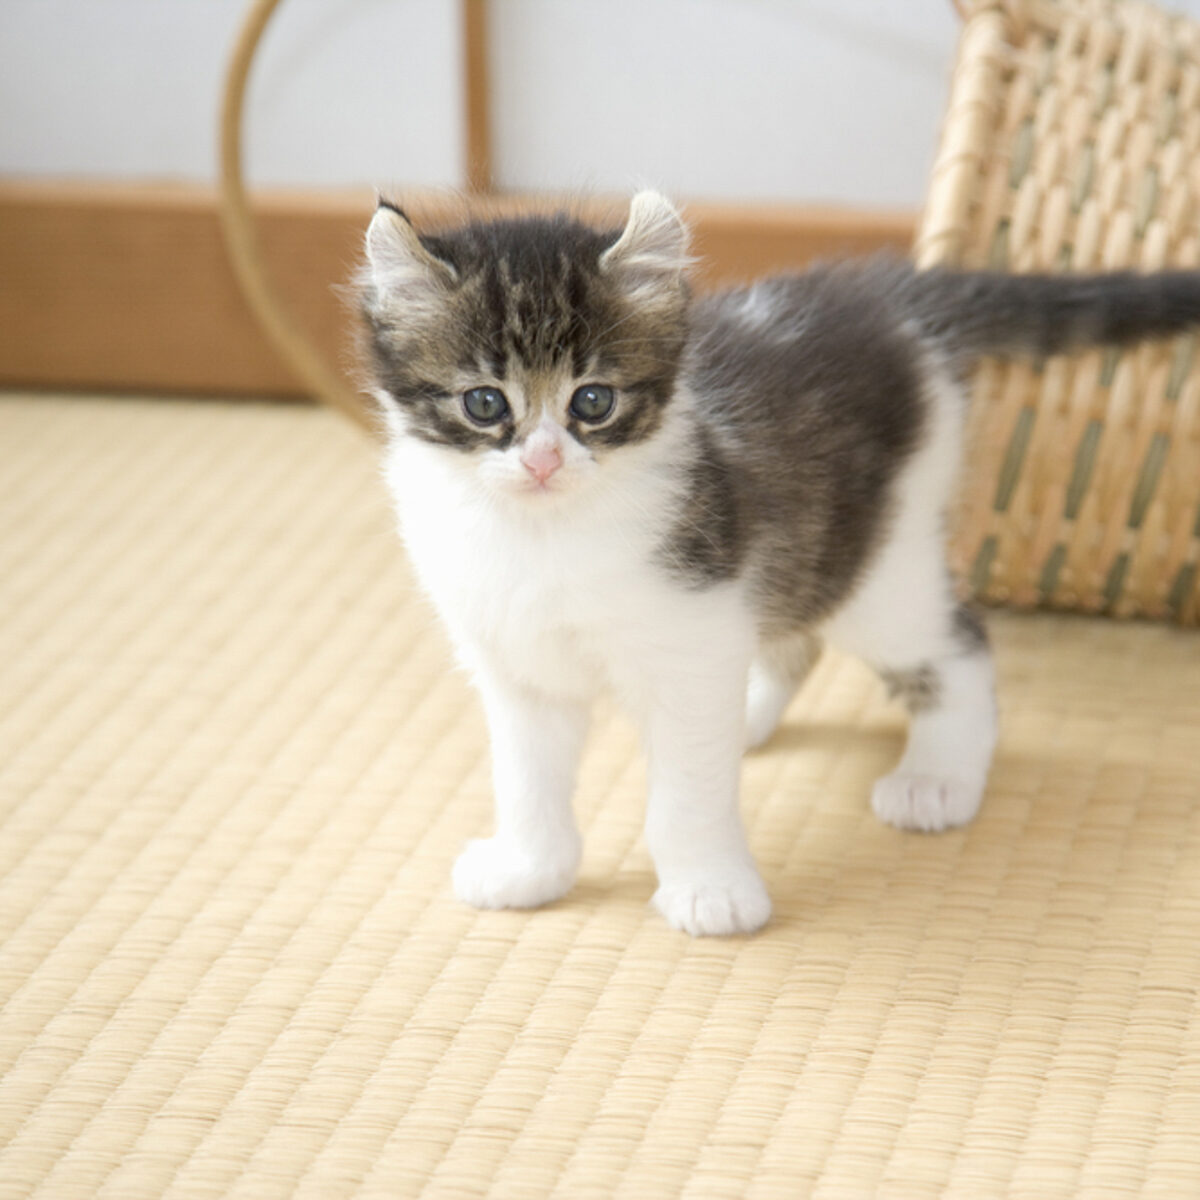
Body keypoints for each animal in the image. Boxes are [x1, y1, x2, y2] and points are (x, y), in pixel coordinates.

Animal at [360, 189, 1200, 936]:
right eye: (485, 403)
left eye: (592, 402)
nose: (541, 461)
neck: (539, 536)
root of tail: (891, 303)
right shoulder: (520, 662)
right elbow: (526, 778)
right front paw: (529, 870)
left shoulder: (693, 619)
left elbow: (686, 793)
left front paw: (710, 889)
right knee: (793, 644)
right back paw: (751, 720)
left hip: (874, 562)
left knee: (959, 645)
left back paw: (937, 777)